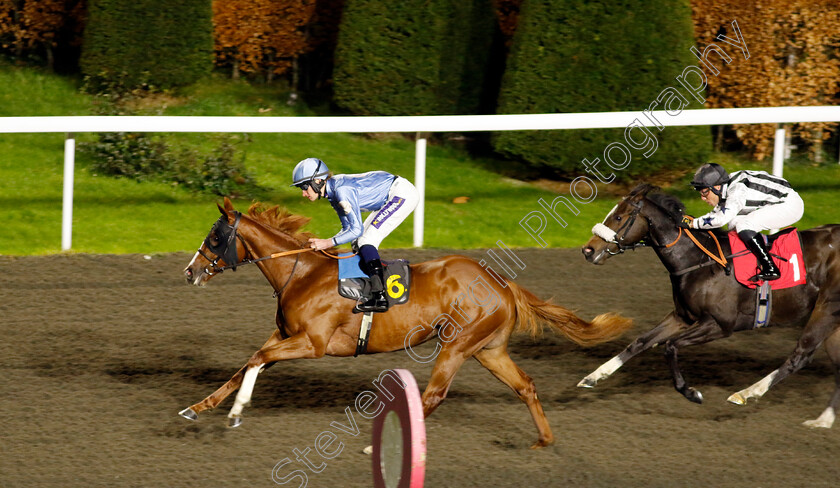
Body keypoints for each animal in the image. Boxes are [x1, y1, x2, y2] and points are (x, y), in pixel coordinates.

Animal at [182, 197, 632, 446]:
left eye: (215, 238)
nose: (189, 272)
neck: (302, 272)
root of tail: (502, 282)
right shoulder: (285, 336)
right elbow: (247, 364)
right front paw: (197, 407)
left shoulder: (313, 344)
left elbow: (256, 360)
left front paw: (236, 412)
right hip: (488, 350)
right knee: (525, 385)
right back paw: (544, 440)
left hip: (456, 344)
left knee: (433, 396)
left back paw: (373, 448)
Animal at [580, 182, 840, 428]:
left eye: (618, 217)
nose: (587, 250)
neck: (698, 261)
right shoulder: (682, 317)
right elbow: (640, 342)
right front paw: (593, 377)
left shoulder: (719, 324)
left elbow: (670, 346)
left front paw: (691, 392)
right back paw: (823, 420)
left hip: (826, 309)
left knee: (801, 356)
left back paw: (746, 393)